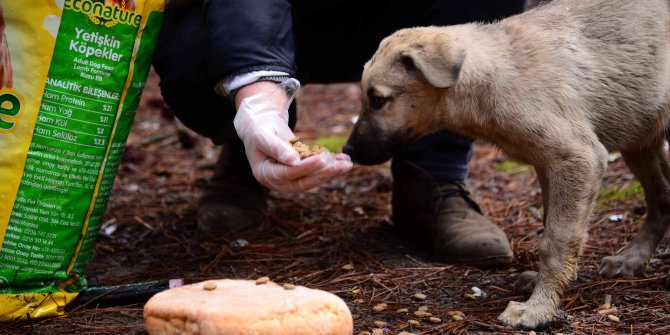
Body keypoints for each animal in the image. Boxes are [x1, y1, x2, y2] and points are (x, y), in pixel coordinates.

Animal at [346, 0, 670, 330]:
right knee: (662, 198)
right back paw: (631, 260)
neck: (499, 72)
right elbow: (549, 227)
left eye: (377, 99)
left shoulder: (578, 158)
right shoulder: (547, 165)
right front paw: (542, 288)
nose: (347, 150)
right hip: (640, 140)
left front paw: (538, 310)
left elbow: (556, 241)